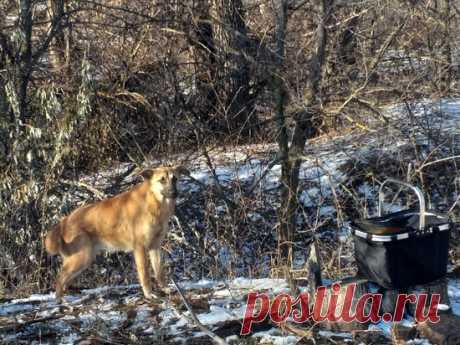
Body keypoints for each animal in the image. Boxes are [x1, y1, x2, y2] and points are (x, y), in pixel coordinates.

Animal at [43, 165, 187, 300]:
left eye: (175, 179)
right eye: (162, 180)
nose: (174, 193)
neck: (154, 203)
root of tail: (64, 221)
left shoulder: (155, 247)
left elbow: (159, 271)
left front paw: (164, 288)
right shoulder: (140, 248)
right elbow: (145, 275)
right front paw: (149, 294)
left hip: (84, 259)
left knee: (65, 281)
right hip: (81, 258)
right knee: (59, 279)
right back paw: (61, 301)